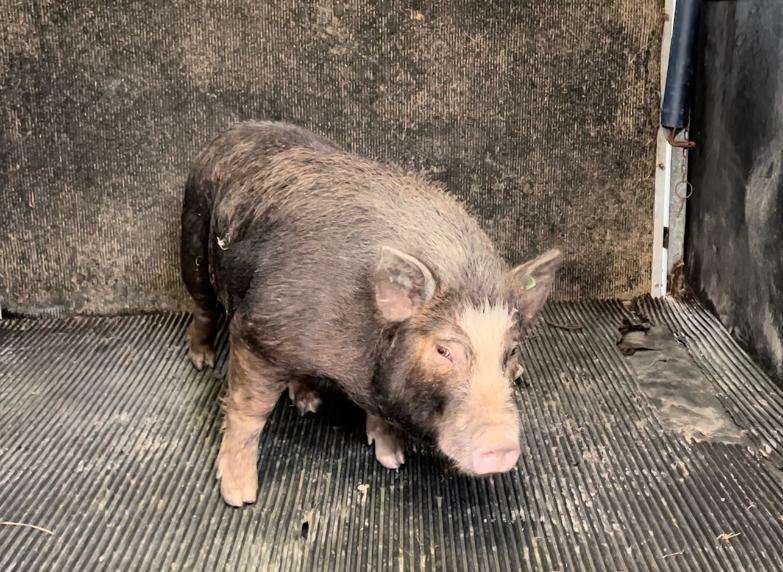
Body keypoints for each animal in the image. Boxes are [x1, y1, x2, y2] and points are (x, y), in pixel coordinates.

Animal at [180, 121, 562, 507]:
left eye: (511, 351)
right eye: (444, 350)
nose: (501, 446)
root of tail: (237, 130)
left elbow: (380, 416)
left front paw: (393, 460)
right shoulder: (258, 329)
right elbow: (249, 411)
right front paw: (239, 496)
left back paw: (310, 402)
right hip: (193, 227)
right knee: (202, 303)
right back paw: (202, 360)